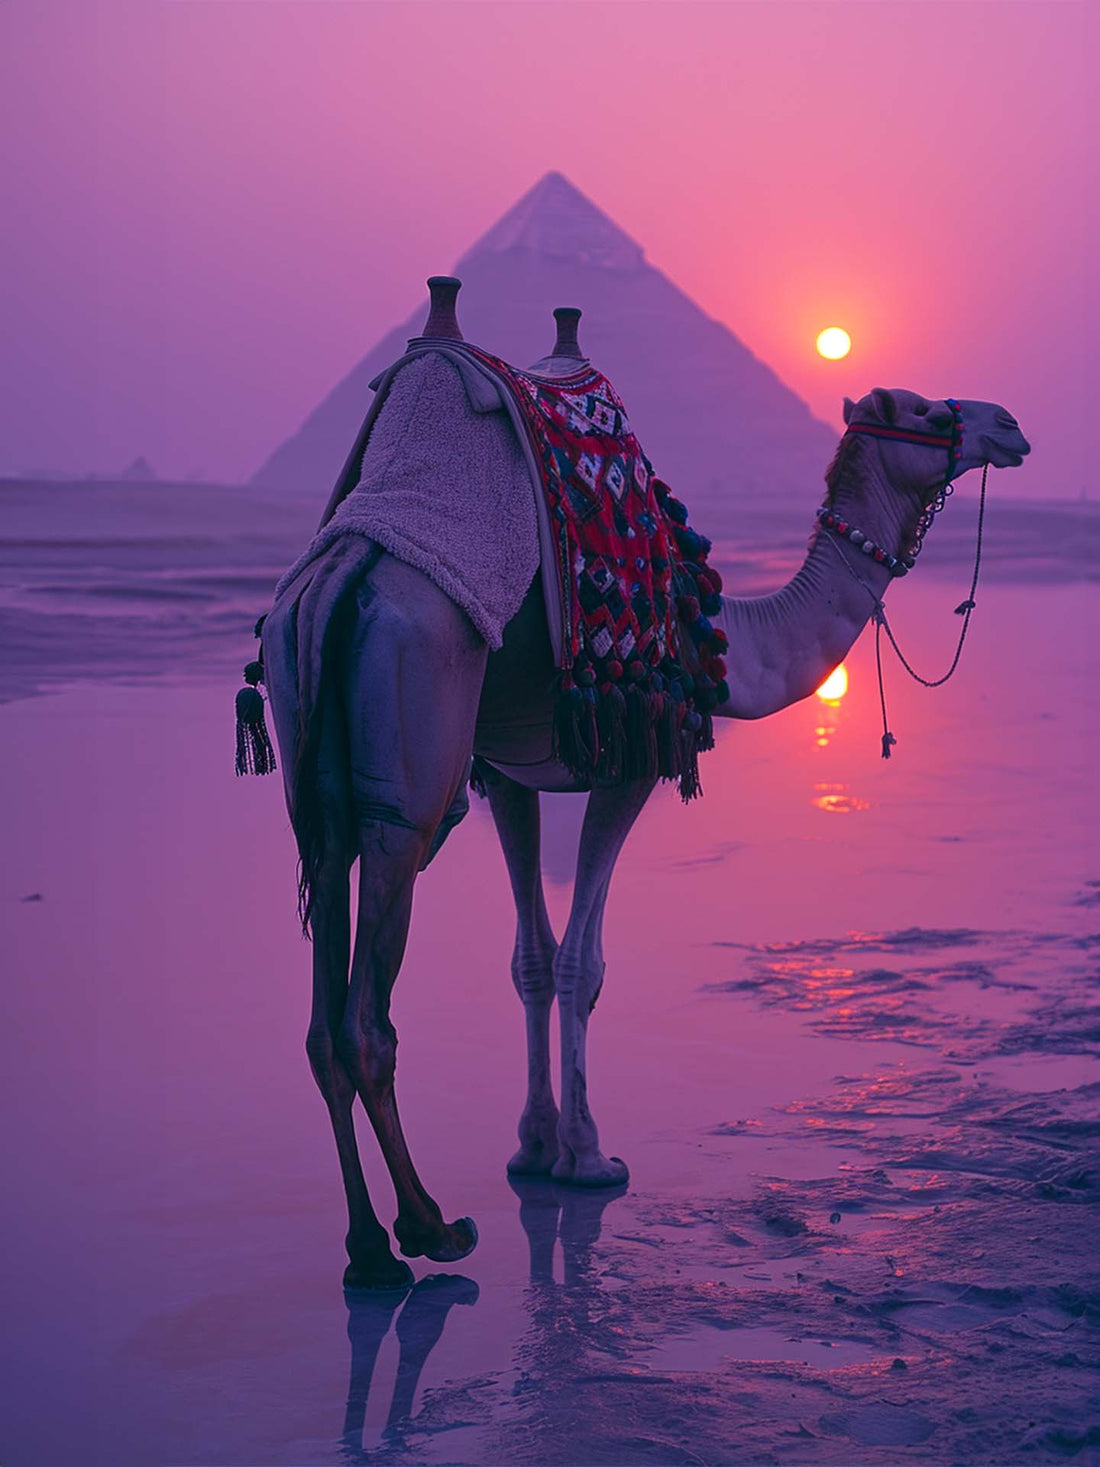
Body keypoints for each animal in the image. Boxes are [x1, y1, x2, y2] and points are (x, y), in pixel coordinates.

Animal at [256, 279, 1030, 1290]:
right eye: (935, 412)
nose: (1010, 424)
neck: (729, 639)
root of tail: (341, 572)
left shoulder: (509, 777)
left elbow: (533, 958)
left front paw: (534, 1148)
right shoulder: (635, 756)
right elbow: (581, 963)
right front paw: (587, 1159)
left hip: (318, 780)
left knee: (320, 1017)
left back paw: (367, 1250)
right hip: (407, 792)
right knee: (366, 1020)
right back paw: (428, 1228)